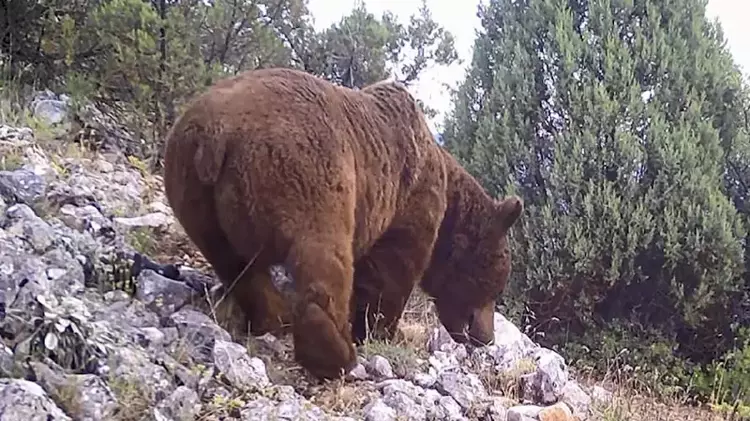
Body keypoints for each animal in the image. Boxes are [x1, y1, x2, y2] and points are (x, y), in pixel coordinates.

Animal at [162, 67, 524, 378]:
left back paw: (275, 316)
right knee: (323, 254)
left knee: (236, 265)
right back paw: (334, 353)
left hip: (192, 191)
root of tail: (216, 133)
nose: (486, 337)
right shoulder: (409, 198)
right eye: (494, 285)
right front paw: (381, 331)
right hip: (306, 169)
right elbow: (391, 271)